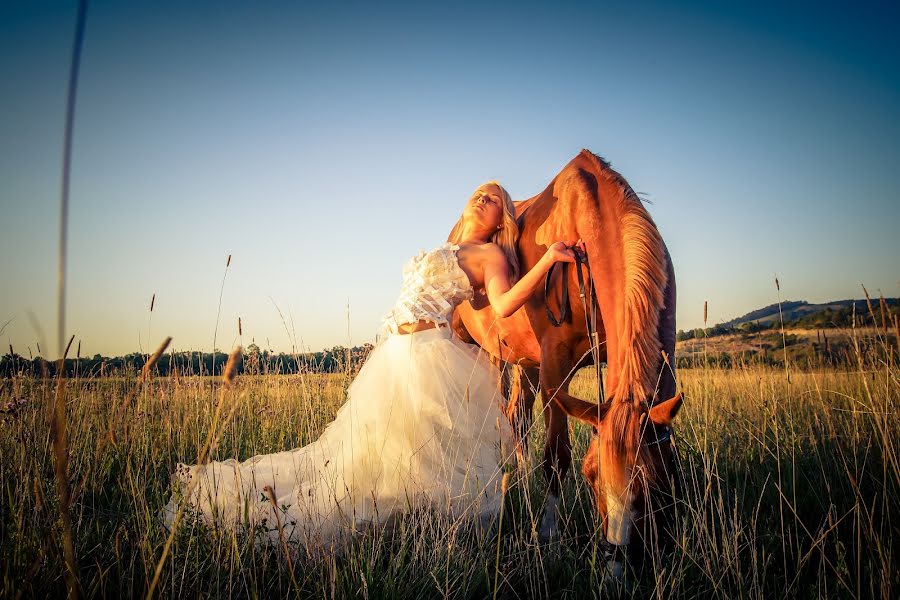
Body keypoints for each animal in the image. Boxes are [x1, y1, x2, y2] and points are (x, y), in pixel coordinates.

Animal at [450, 149, 684, 580]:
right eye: (591, 477)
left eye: (653, 485)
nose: (615, 570)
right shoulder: (556, 368)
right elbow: (557, 458)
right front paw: (549, 535)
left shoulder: (665, 358)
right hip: (485, 354)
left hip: (525, 362)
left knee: (517, 420)